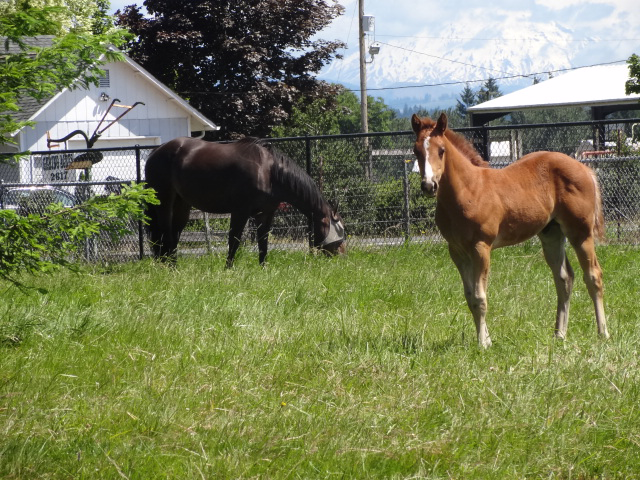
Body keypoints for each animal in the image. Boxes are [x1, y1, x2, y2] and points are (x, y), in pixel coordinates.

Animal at [144, 136, 344, 266]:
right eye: (340, 230)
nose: (343, 255)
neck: (269, 171)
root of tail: (155, 152)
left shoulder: (266, 213)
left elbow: (263, 242)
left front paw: (263, 268)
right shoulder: (240, 211)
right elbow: (234, 240)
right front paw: (228, 268)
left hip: (182, 205)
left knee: (175, 233)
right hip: (164, 202)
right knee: (166, 233)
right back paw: (171, 266)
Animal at [412, 114, 608, 346]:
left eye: (441, 150)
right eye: (416, 151)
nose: (428, 186)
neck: (467, 190)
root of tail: (584, 168)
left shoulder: (481, 247)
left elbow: (480, 297)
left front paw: (483, 343)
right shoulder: (457, 251)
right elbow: (470, 297)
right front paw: (485, 339)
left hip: (580, 233)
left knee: (593, 276)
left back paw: (603, 333)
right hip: (552, 234)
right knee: (564, 279)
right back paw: (559, 334)